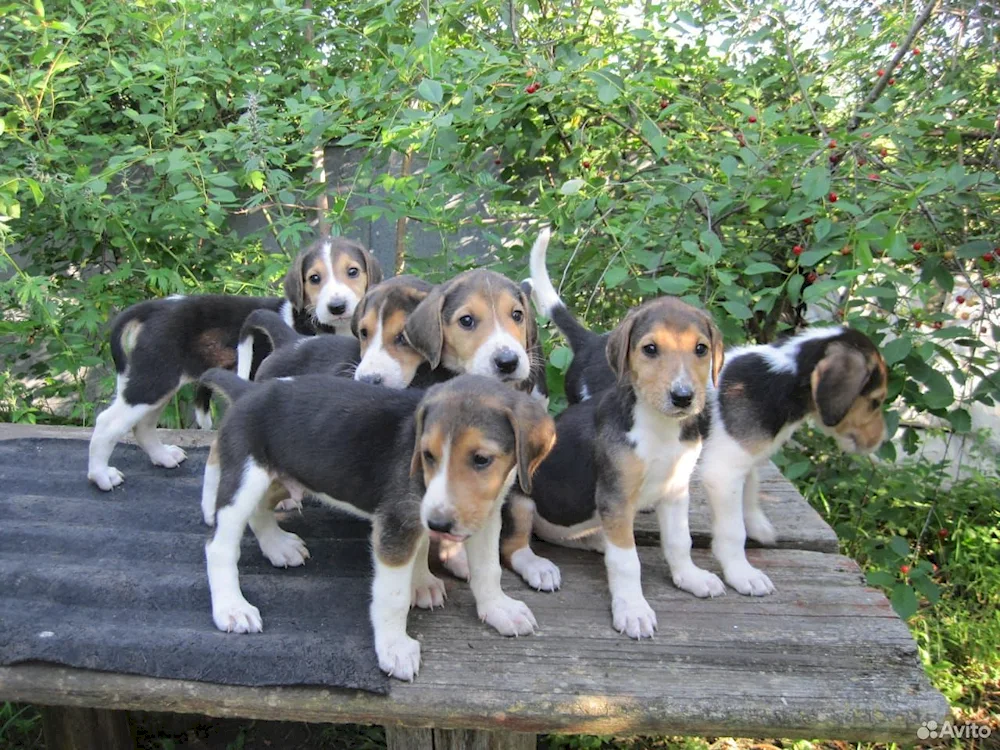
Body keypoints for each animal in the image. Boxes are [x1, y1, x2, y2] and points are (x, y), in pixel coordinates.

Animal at [86, 236, 380, 494]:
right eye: (314, 278)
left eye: (353, 272)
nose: (337, 306)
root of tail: (154, 308)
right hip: (151, 381)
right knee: (107, 422)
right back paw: (101, 476)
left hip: (159, 381)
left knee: (143, 425)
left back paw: (163, 456)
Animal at [195, 374, 556, 684]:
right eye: (428, 455)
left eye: (481, 459)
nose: (439, 524)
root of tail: (249, 390)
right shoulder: (396, 524)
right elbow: (392, 596)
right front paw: (395, 647)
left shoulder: (483, 515)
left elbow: (487, 570)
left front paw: (497, 608)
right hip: (246, 476)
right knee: (219, 547)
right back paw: (232, 608)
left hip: (279, 477)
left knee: (259, 512)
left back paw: (277, 546)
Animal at [700, 328, 888, 600]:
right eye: (876, 401)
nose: (881, 440)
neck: (783, 378)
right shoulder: (723, 472)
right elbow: (733, 532)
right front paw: (742, 573)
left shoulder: (746, 460)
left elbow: (751, 491)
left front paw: (757, 525)